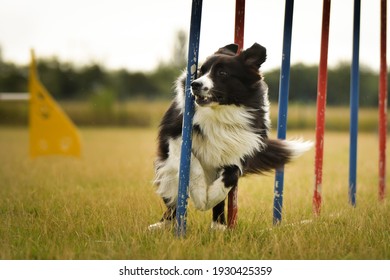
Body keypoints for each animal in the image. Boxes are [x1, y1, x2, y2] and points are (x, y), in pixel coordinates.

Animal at [149, 42, 310, 230]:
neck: (221, 112)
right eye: (201, 71)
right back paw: (162, 225)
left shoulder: (242, 145)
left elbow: (231, 175)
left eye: (222, 73)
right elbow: (194, 166)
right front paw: (200, 196)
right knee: (172, 199)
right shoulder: (174, 136)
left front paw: (212, 198)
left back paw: (218, 226)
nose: (195, 84)